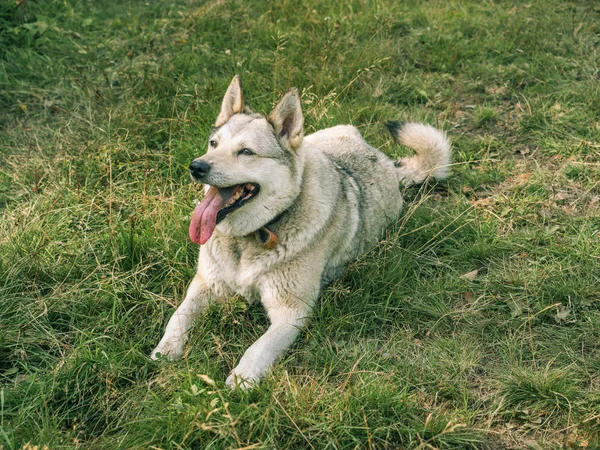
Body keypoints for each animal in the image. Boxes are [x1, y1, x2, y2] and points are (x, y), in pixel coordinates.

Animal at [150, 75, 450, 388]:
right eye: (213, 143)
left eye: (246, 152)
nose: (196, 167)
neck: (253, 235)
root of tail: (385, 160)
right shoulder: (205, 284)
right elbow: (179, 315)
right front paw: (166, 349)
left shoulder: (292, 311)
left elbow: (258, 347)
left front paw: (243, 379)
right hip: (313, 144)